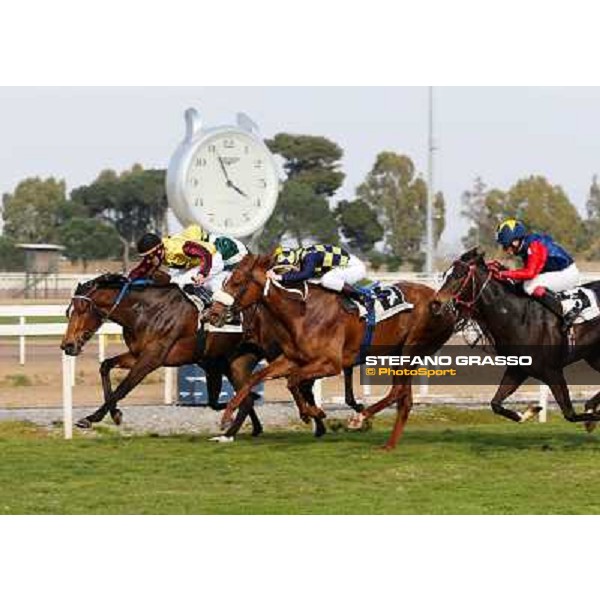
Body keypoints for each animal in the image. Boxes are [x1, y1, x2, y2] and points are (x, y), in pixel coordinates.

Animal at [206, 254, 454, 450]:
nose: (212, 314)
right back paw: (389, 444)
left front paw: (314, 414)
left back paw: (359, 418)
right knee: (405, 399)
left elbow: (294, 381)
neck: (301, 313)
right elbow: (256, 378)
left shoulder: (330, 363)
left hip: (410, 351)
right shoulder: (292, 358)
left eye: (236, 282)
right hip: (402, 354)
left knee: (398, 391)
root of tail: (443, 302)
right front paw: (226, 418)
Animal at [434, 247, 600, 426]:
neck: (518, 317)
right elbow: (495, 404)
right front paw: (528, 413)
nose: (435, 304)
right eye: (444, 275)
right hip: (593, 357)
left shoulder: (552, 371)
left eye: (459, 274)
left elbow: (570, 414)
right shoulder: (517, 369)